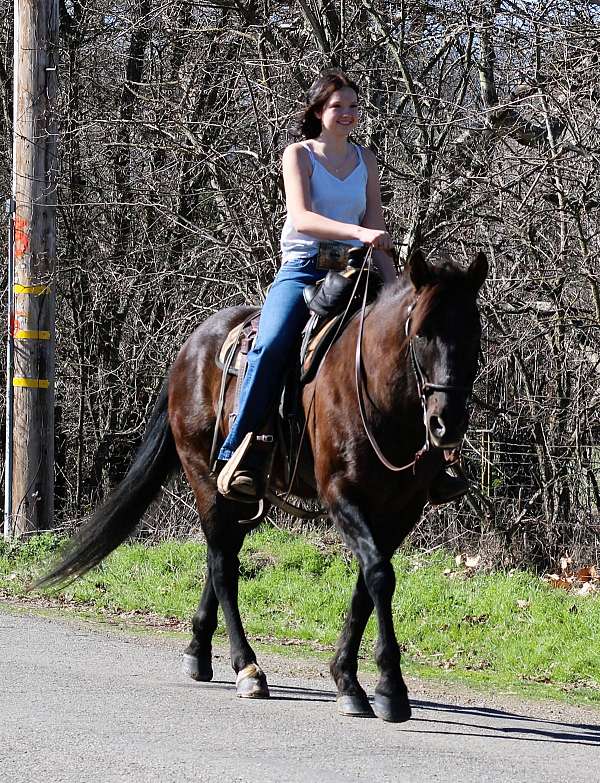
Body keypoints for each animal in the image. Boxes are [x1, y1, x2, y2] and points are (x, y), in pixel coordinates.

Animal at [36, 250, 488, 724]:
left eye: (473, 332)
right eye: (421, 333)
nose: (447, 423)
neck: (379, 394)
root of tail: (190, 348)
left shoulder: (402, 509)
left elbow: (366, 586)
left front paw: (347, 677)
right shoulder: (342, 496)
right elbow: (380, 576)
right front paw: (388, 688)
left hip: (246, 497)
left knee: (223, 554)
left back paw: (199, 651)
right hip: (204, 477)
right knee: (222, 565)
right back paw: (247, 667)